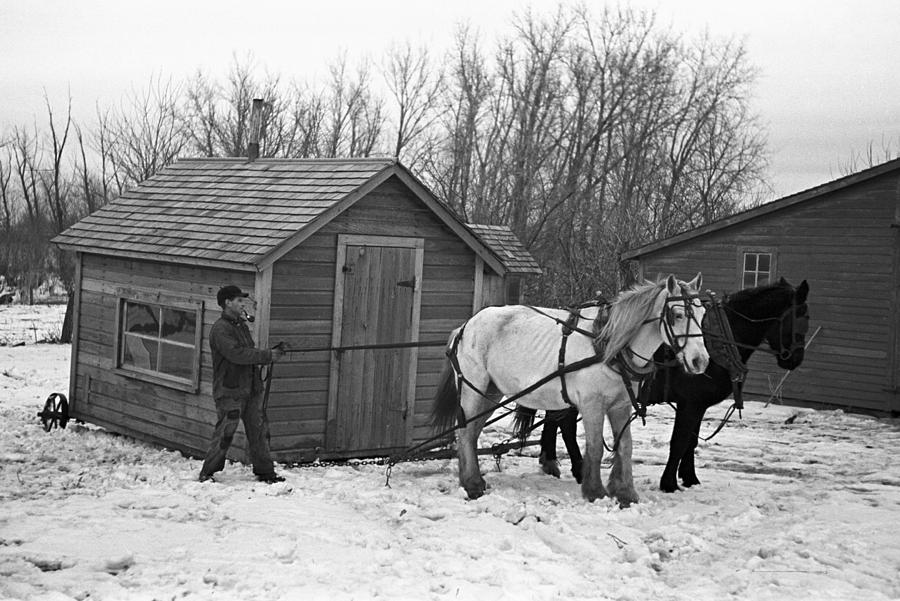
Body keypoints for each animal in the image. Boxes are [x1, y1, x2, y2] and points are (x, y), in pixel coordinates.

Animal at [432, 274, 708, 504]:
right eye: (677, 314)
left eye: (703, 313)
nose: (700, 361)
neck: (608, 344)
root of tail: (465, 326)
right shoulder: (592, 404)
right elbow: (595, 447)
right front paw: (595, 491)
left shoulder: (620, 405)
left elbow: (625, 447)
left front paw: (625, 492)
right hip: (473, 389)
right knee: (464, 432)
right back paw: (472, 485)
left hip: (490, 392)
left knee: (472, 432)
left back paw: (471, 479)